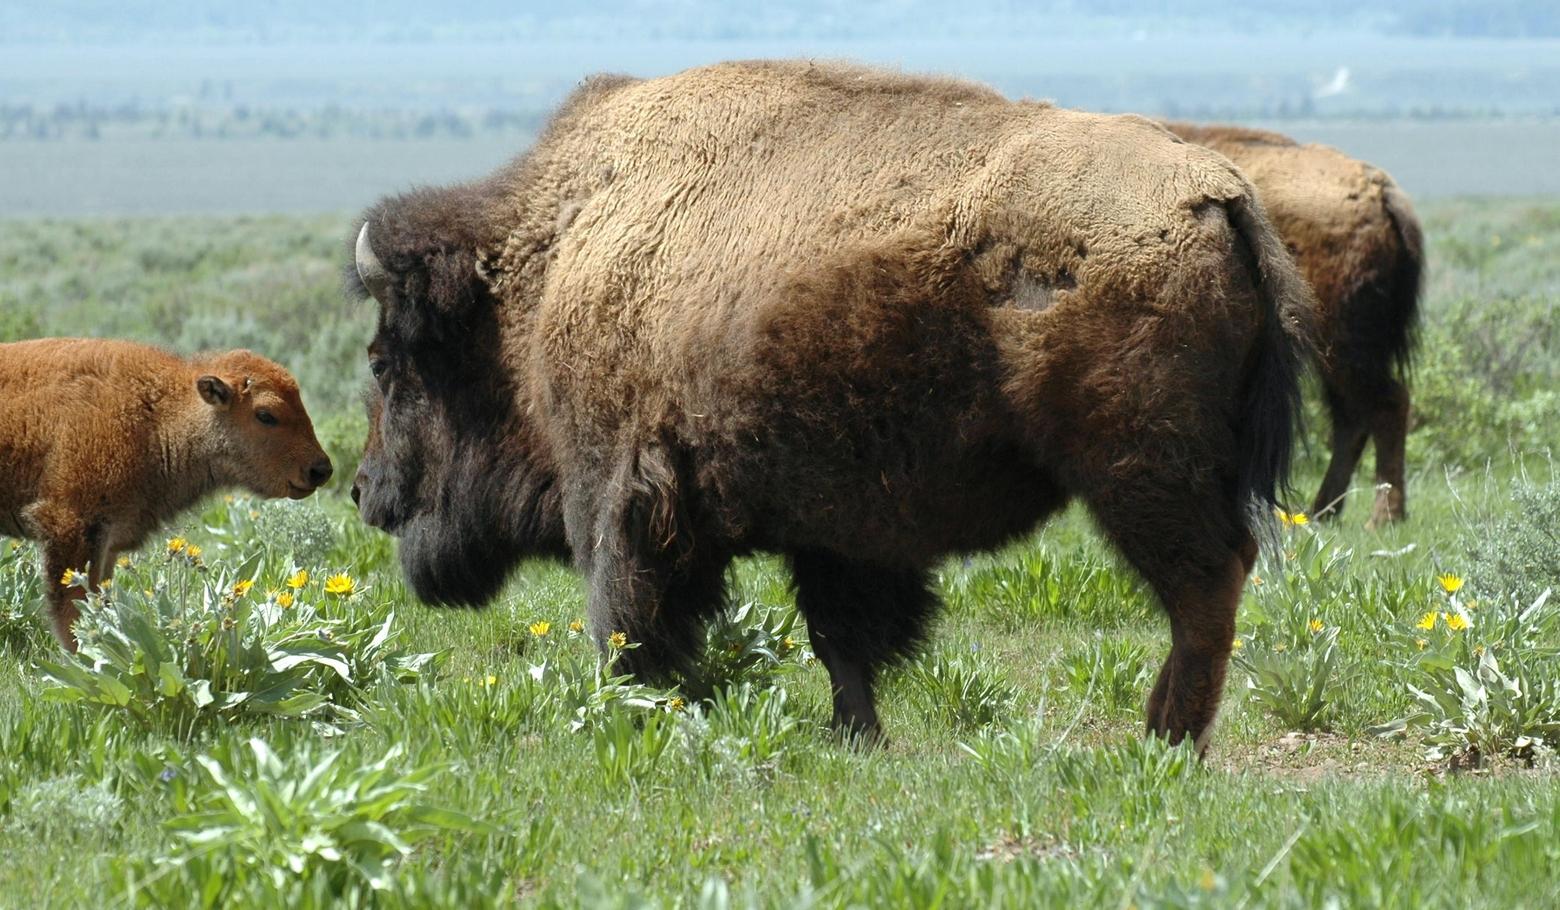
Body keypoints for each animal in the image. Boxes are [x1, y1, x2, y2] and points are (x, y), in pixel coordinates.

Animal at [1, 340, 332, 649]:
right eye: (265, 414)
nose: (321, 469)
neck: (156, 415)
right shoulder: (70, 528)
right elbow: (74, 612)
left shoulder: (108, 540)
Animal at [347, 60, 1310, 752]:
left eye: (388, 363)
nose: (363, 489)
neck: (554, 257)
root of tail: (1218, 193)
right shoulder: (838, 530)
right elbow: (841, 636)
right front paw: (856, 737)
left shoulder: (619, 494)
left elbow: (626, 620)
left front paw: (633, 711)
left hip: (1136, 472)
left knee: (1204, 584)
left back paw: (1162, 741)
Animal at [1160, 124, 1428, 530]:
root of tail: (1380, 190)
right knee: (1352, 415)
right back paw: (1322, 513)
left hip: (1339, 342)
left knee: (1385, 404)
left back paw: (1381, 517)